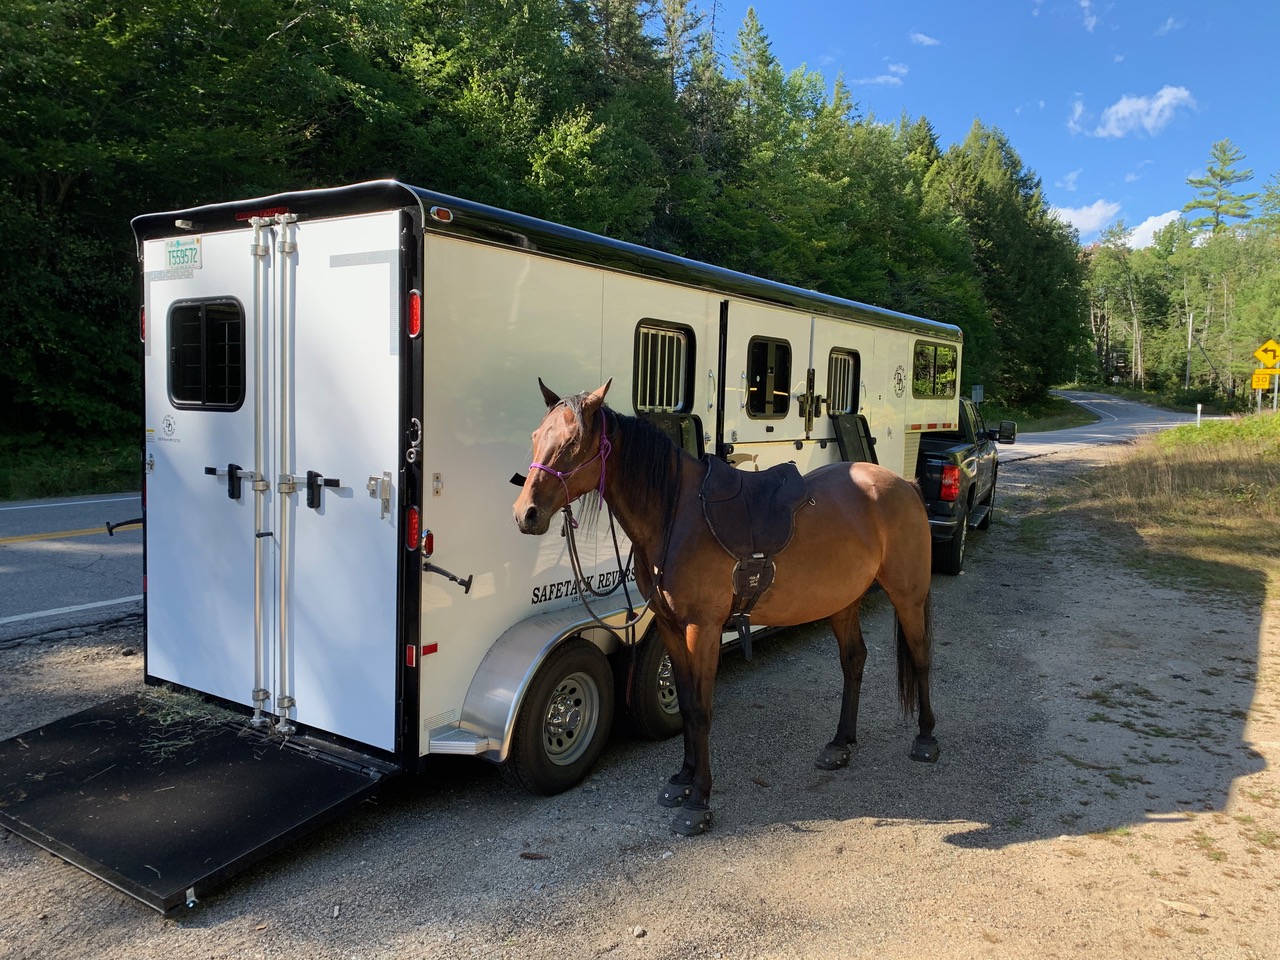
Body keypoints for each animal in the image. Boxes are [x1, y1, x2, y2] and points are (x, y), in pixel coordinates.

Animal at [512, 379, 938, 836]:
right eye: (535, 437)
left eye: (573, 442)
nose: (525, 514)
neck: (676, 516)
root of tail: (903, 485)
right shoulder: (670, 626)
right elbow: (684, 701)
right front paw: (681, 779)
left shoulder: (703, 627)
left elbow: (701, 710)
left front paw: (698, 800)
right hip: (843, 600)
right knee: (854, 660)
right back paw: (840, 744)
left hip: (908, 595)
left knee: (920, 657)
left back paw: (926, 739)